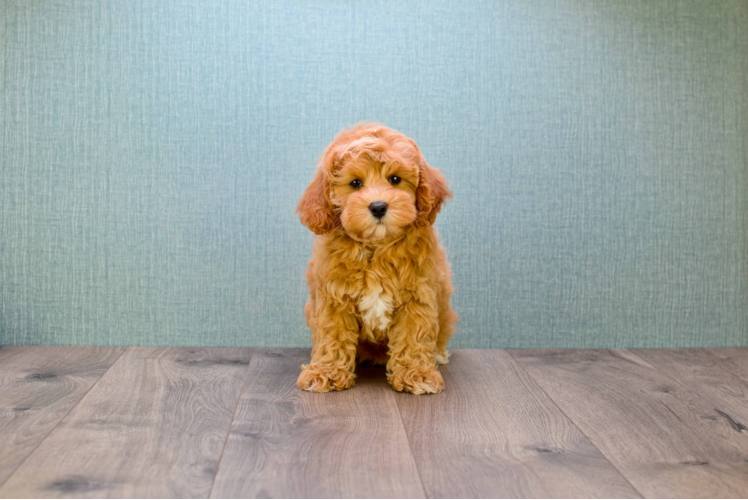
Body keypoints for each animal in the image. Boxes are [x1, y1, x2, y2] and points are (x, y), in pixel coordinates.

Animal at [296, 122, 458, 394]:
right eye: (355, 183)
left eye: (395, 179)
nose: (379, 206)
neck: (375, 247)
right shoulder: (333, 299)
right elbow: (332, 336)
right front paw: (326, 373)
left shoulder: (417, 298)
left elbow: (414, 337)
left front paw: (417, 374)